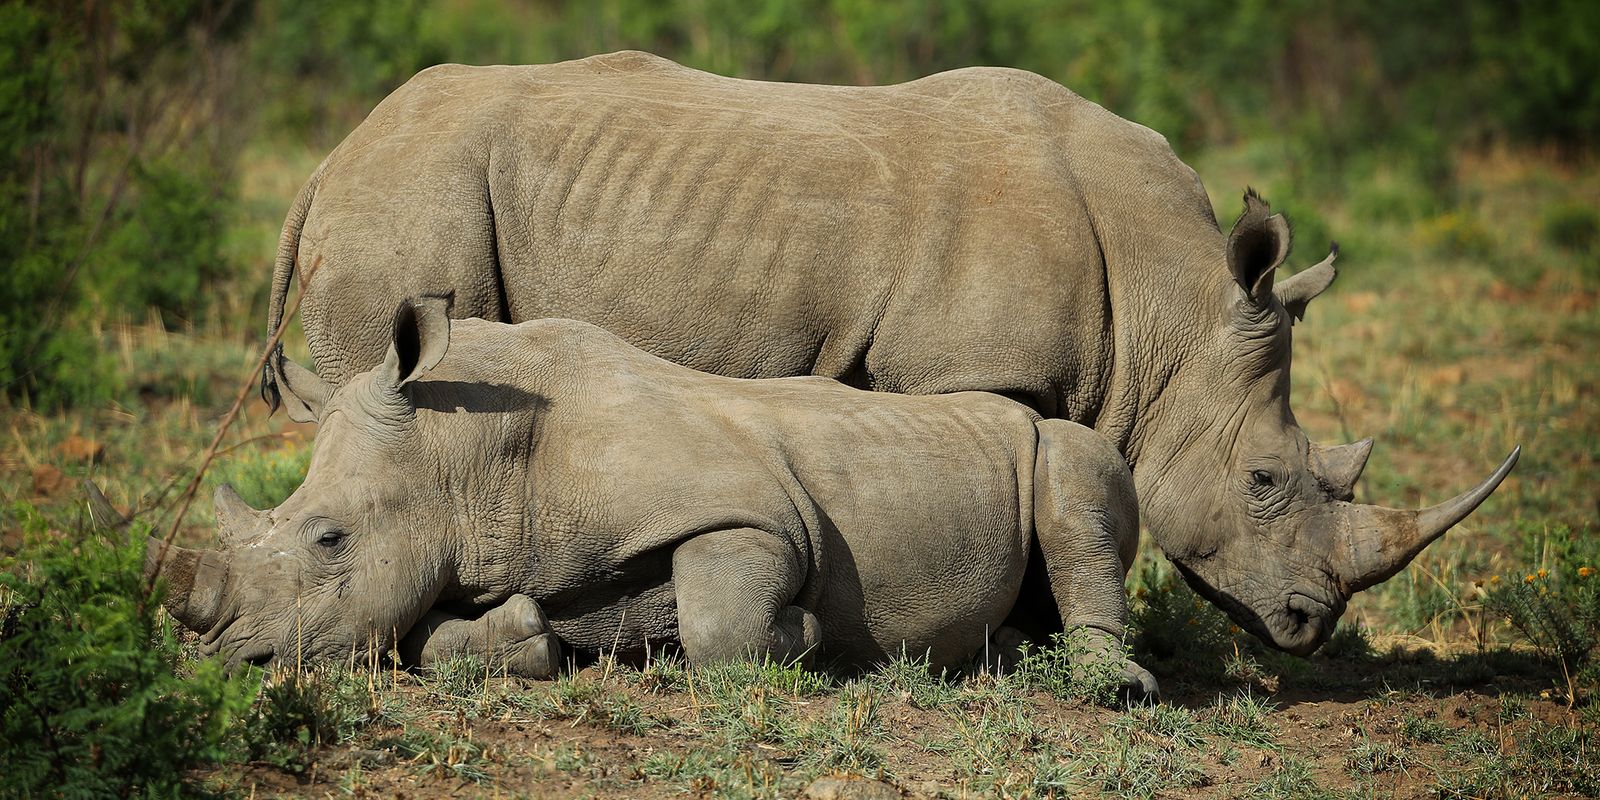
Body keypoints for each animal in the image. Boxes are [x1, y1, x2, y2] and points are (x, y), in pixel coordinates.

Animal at [148, 298, 1157, 693]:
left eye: (328, 540)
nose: (231, 656)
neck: (463, 453)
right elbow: (428, 637)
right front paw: (530, 637)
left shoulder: (751, 511)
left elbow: (722, 625)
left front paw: (814, 636)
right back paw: (1002, 655)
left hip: (1058, 444)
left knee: (1073, 475)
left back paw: (1109, 686)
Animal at [261, 51, 1518, 656]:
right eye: (1263, 480)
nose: (1311, 623)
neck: (1173, 311)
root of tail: (329, 158)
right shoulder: (970, 372)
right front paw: (1015, 637)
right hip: (409, 205)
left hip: (405, 194)